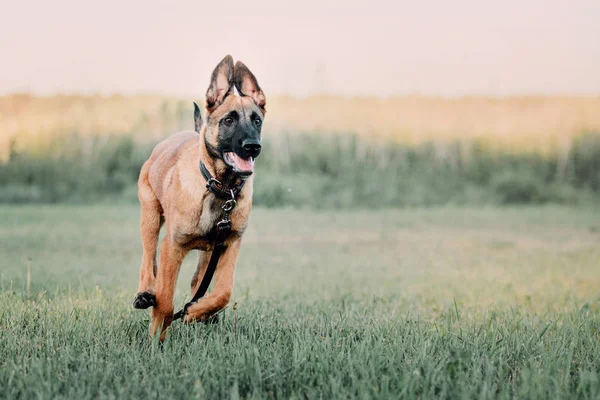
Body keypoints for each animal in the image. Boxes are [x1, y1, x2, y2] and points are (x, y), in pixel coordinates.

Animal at [132, 54, 266, 340]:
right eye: (229, 120)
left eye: (257, 120)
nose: (253, 147)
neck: (220, 188)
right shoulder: (172, 246)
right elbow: (165, 299)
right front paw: (156, 337)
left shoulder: (230, 244)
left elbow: (223, 292)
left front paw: (196, 312)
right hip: (149, 216)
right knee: (148, 260)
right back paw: (145, 293)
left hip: (209, 250)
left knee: (198, 281)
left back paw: (201, 313)